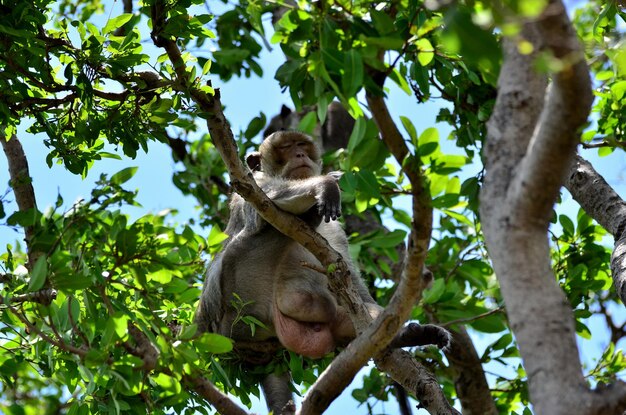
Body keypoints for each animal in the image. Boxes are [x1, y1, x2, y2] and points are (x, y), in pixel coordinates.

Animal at [195, 132, 448, 414]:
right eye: (286, 147)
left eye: (303, 146)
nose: (300, 155)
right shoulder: (251, 183)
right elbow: (264, 202)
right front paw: (326, 184)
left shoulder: (337, 230)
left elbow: (349, 279)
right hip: (237, 305)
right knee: (267, 229)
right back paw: (310, 217)